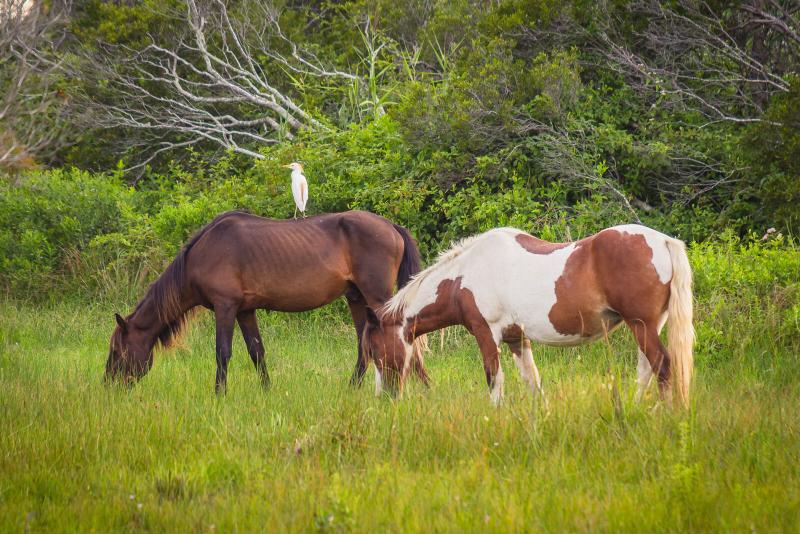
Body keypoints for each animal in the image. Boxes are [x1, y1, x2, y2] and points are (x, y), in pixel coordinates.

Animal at [105, 210, 430, 393]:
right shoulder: (245, 311)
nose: (108, 386)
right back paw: (354, 388)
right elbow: (256, 352)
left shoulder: (225, 307)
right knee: (365, 345)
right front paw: (266, 391)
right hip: (355, 298)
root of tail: (391, 226)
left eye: (117, 351)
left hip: (376, 297)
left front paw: (218, 394)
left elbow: (222, 352)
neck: (200, 255)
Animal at [363, 224, 695, 406]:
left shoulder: (486, 334)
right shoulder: (516, 339)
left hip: (641, 325)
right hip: (648, 326)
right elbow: (532, 381)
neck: (464, 276)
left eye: (377, 351)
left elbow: (494, 379)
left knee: (662, 365)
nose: (383, 398)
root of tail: (663, 241)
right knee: (647, 369)